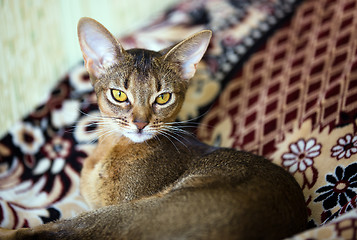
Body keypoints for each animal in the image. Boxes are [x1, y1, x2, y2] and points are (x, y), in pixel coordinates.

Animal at [0, 17, 306, 240]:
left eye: (162, 98)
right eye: (119, 94)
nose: (140, 123)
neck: (109, 150)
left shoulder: (115, 210)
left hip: (143, 211)